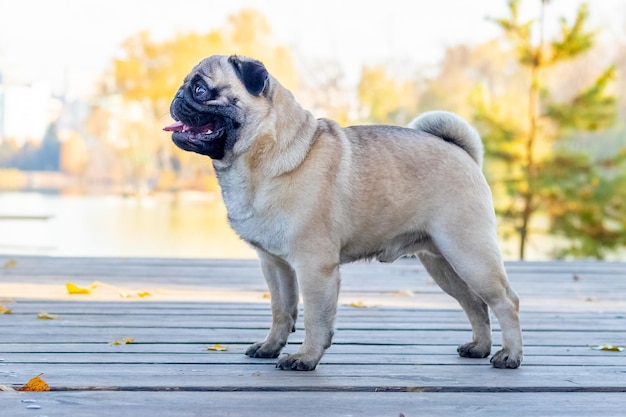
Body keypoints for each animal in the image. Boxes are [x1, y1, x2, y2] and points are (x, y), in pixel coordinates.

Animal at [165, 54, 520, 370]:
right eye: (185, 85)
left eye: (200, 89)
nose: (177, 95)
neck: (261, 156)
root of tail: (462, 152)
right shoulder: (275, 264)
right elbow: (282, 311)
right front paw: (270, 347)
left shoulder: (314, 266)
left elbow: (315, 318)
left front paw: (305, 357)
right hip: (443, 263)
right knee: (475, 304)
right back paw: (479, 347)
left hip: (469, 254)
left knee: (506, 301)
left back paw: (509, 355)